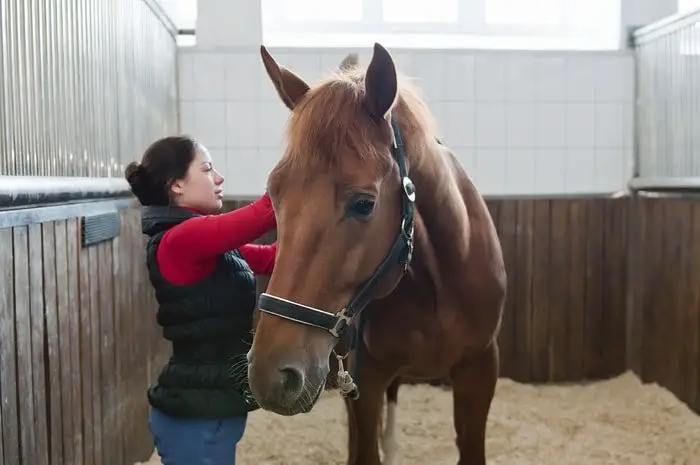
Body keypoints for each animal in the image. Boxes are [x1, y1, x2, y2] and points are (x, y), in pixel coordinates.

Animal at [249, 43, 506, 464]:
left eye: (364, 203)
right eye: (274, 194)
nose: (271, 376)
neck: (436, 285)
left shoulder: (481, 367)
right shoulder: (364, 381)